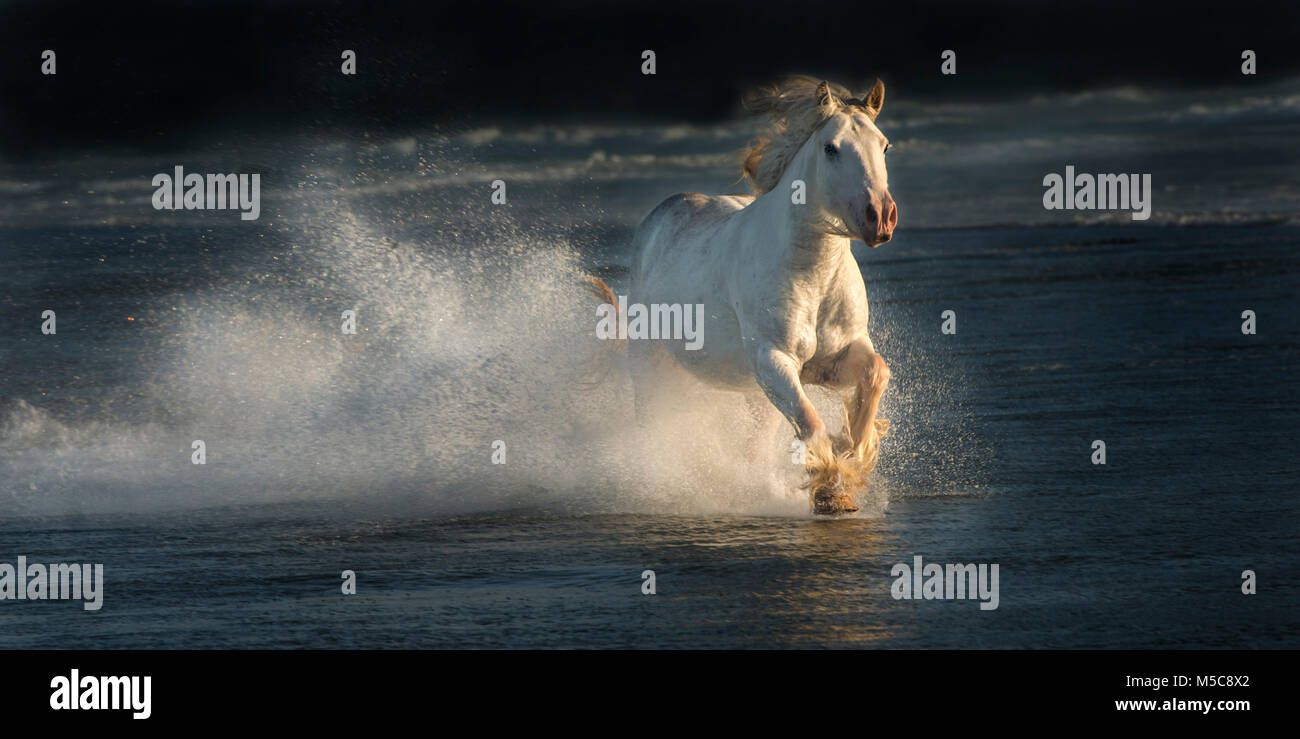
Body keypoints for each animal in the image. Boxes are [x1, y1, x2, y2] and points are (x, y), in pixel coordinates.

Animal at [595, 76, 899, 512]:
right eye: (831, 147)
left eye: (885, 145)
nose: (880, 217)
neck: (814, 276)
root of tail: (659, 216)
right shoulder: (772, 359)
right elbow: (811, 423)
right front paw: (828, 488)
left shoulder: (832, 358)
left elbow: (875, 373)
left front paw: (851, 454)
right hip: (652, 362)